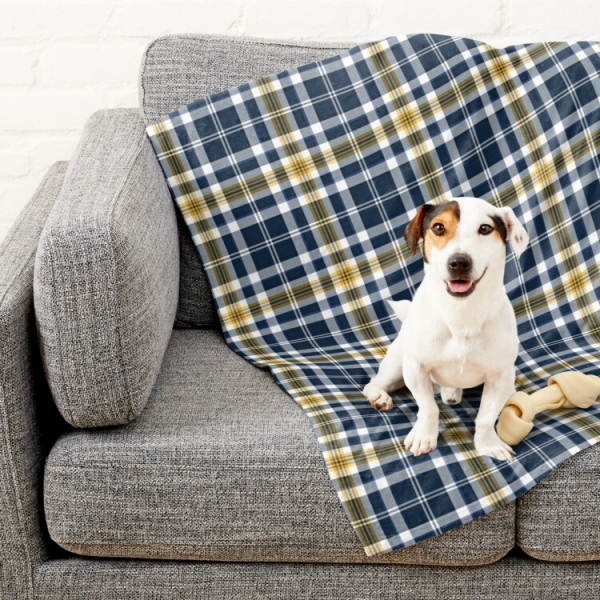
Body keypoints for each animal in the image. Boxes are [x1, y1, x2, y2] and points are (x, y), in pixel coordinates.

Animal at [364, 196, 528, 460]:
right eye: (438, 228)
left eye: (485, 228)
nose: (459, 262)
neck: (461, 315)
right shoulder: (416, 368)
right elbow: (428, 408)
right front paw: (424, 436)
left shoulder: (500, 375)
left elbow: (486, 417)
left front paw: (488, 444)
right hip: (397, 364)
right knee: (374, 383)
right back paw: (379, 396)